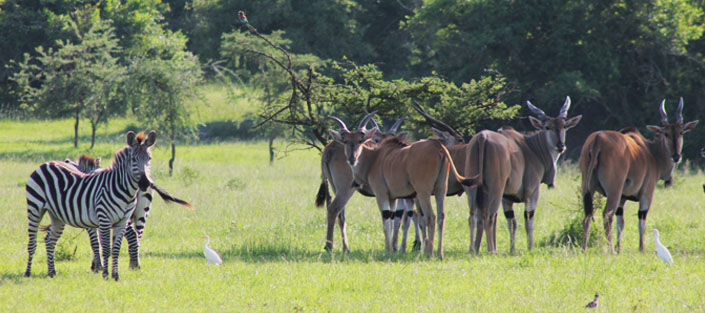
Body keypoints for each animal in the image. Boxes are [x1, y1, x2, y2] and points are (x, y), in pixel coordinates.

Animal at [26, 130, 157, 280]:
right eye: (133, 159)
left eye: (149, 158)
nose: (145, 183)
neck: (125, 190)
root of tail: (47, 163)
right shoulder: (103, 220)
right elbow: (104, 248)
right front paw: (104, 273)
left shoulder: (121, 222)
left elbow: (115, 249)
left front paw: (115, 275)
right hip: (34, 207)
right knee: (32, 242)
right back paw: (28, 273)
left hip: (57, 215)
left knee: (49, 240)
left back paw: (52, 272)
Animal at [314, 113, 418, 252]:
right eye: (376, 139)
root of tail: (330, 148)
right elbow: (403, 216)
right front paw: (398, 247)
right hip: (346, 189)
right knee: (333, 209)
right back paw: (329, 246)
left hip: (336, 188)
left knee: (340, 215)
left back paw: (345, 247)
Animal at [328, 112, 476, 258]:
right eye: (346, 141)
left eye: (360, 140)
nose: (352, 159)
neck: (374, 158)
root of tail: (438, 147)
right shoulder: (393, 197)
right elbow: (394, 218)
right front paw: (394, 248)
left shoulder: (382, 194)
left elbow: (387, 218)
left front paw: (389, 249)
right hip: (440, 190)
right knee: (441, 216)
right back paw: (439, 253)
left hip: (423, 192)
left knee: (431, 216)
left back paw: (429, 253)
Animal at [580, 98, 696, 252]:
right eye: (666, 134)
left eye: (681, 133)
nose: (676, 156)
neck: (652, 153)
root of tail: (597, 140)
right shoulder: (646, 194)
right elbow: (641, 221)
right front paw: (641, 248)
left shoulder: (622, 199)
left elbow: (620, 223)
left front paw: (619, 248)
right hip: (614, 192)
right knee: (606, 215)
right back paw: (610, 250)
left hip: (588, 189)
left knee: (587, 215)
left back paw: (584, 248)